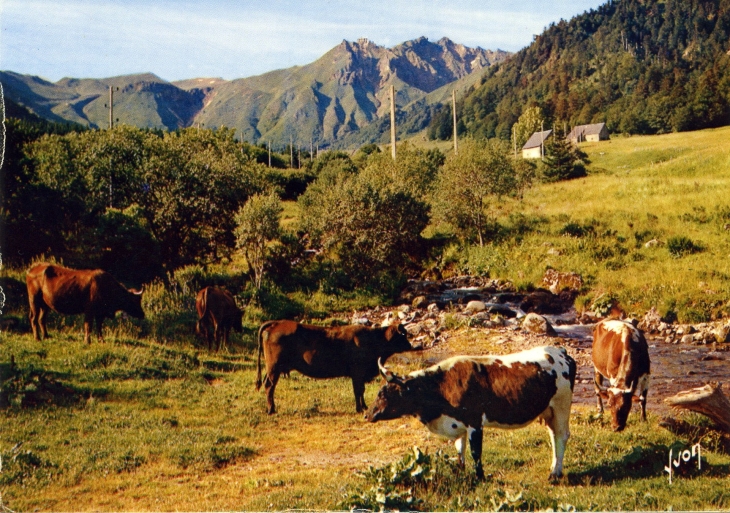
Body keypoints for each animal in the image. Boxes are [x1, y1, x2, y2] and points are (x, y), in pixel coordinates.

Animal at [256, 322, 416, 414]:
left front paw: (364, 406)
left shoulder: (360, 375)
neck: (372, 339)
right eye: (403, 335)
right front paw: (359, 408)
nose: (410, 345)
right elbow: (358, 390)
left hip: (272, 369)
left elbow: (361, 390)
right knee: (269, 385)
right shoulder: (357, 373)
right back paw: (271, 409)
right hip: (274, 368)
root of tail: (276, 323)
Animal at [364, 344, 576, 480]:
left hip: (562, 405)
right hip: (549, 410)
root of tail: (559, 351)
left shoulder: (474, 422)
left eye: (384, 393)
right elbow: (460, 451)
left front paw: (479, 477)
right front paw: (462, 473)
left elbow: (475, 452)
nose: (367, 414)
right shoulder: (458, 425)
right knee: (554, 435)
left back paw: (554, 474)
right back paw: (554, 469)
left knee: (562, 436)